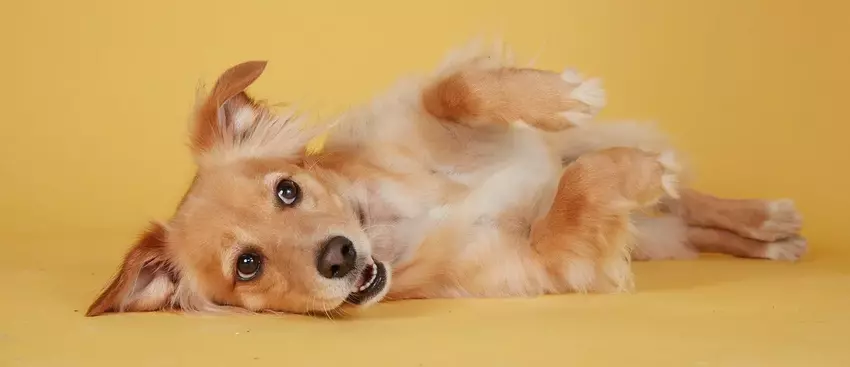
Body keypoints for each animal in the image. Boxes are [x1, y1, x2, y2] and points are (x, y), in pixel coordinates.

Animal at [88, 44, 808, 318]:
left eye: (287, 190)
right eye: (247, 265)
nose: (338, 256)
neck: (395, 222)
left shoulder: (430, 113)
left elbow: (456, 88)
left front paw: (561, 94)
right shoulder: (546, 260)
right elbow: (576, 196)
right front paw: (633, 170)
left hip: (589, 155)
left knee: (692, 203)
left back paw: (767, 218)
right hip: (650, 234)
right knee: (687, 220)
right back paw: (761, 229)